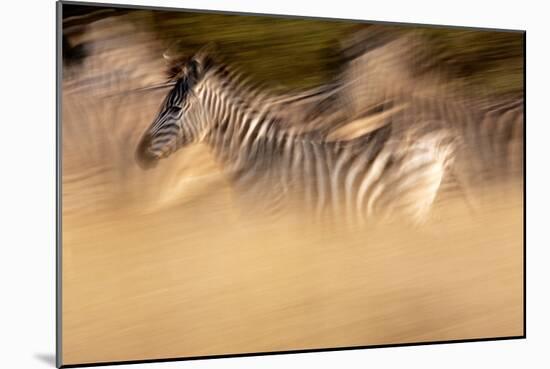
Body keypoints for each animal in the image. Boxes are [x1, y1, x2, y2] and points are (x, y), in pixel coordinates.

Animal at [136, 49, 460, 224]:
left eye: (175, 108)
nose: (139, 154)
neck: (253, 157)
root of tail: (435, 141)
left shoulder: (271, 221)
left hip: (410, 207)